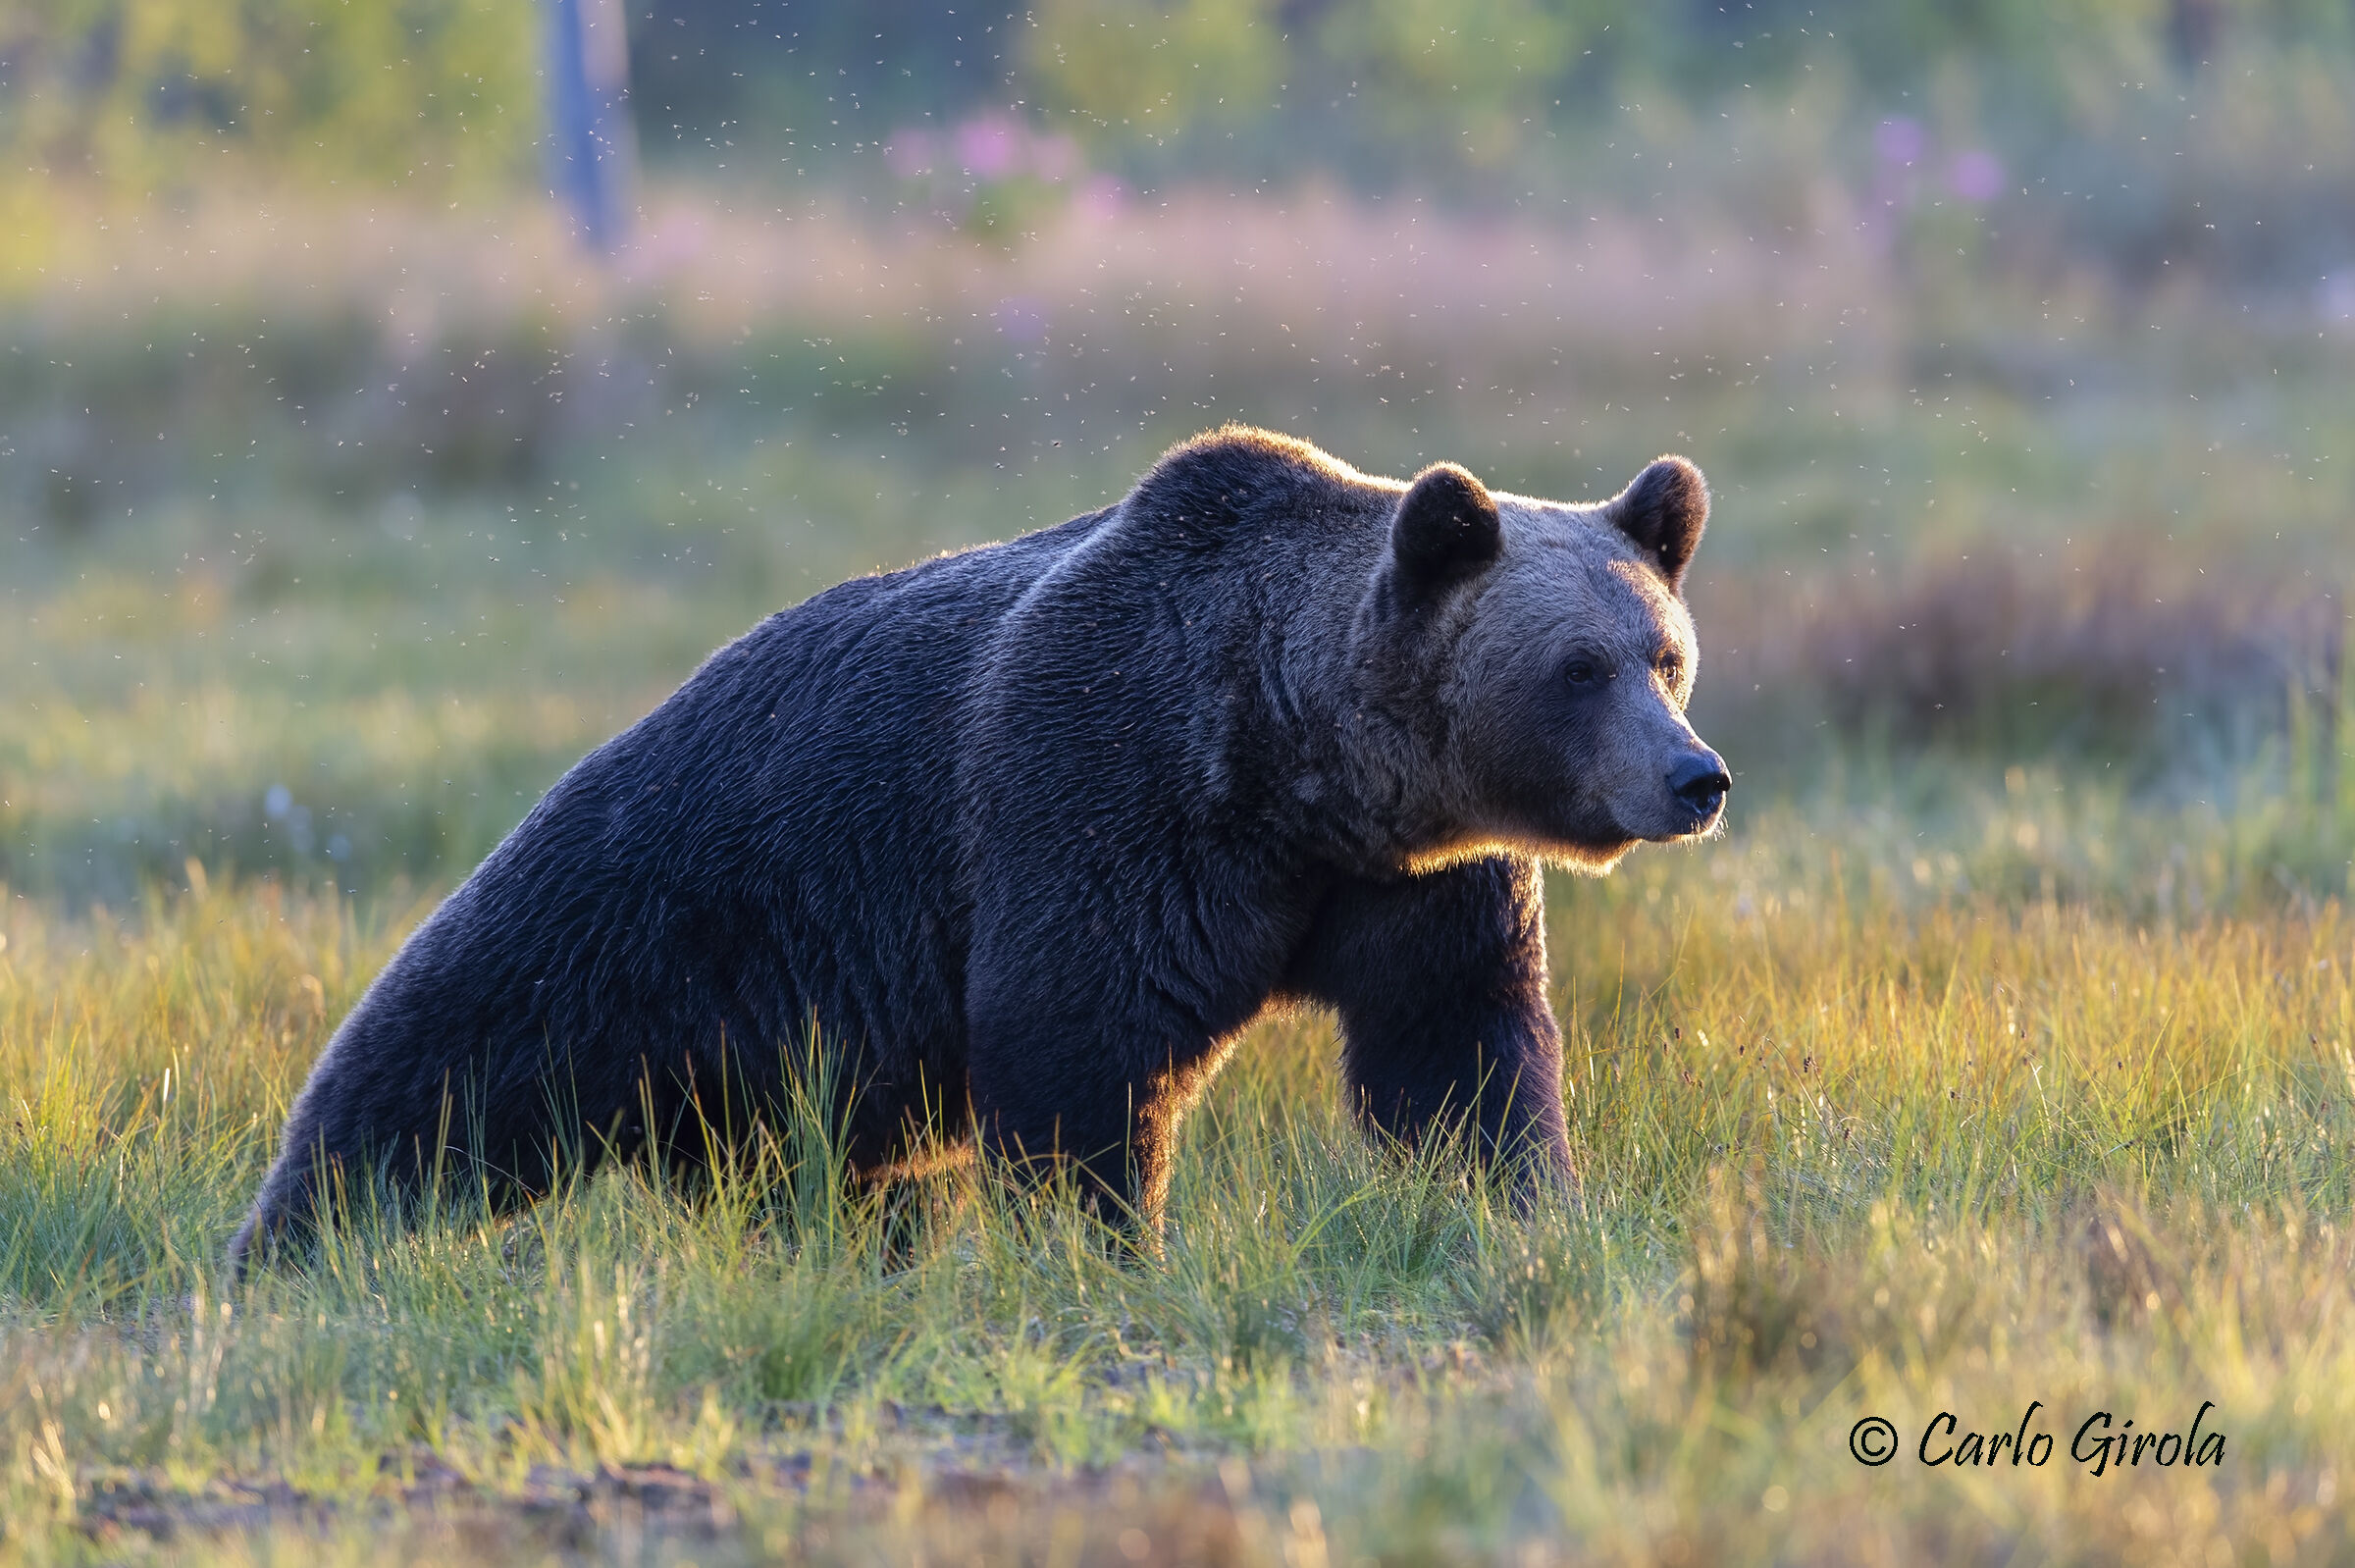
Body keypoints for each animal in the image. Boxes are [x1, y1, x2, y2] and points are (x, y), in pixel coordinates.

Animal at [229, 426, 1726, 1265]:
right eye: (1579, 667)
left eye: (1666, 653)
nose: (1693, 776)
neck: (1302, 767)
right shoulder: (1102, 795)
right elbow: (1079, 1048)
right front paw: (1104, 1246)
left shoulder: (1411, 882)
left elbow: (1456, 1050)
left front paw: (1523, 1210)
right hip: (648, 902)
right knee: (440, 1075)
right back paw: (293, 1252)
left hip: (786, 1051)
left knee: (819, 1178)